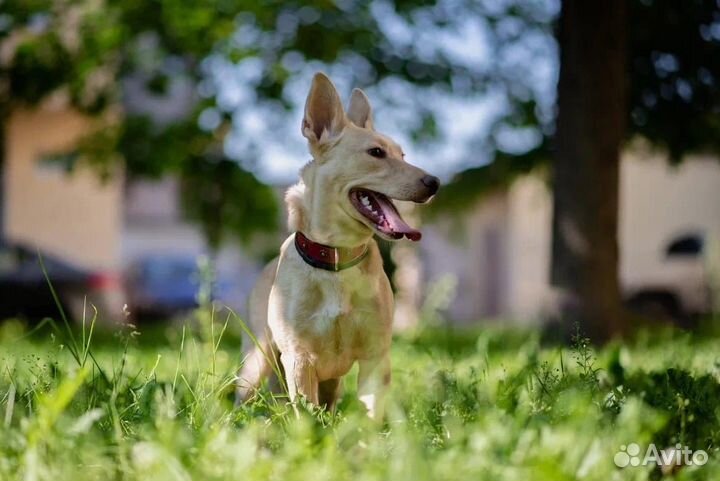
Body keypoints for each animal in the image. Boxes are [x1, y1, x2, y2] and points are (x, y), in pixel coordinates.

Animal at [236, 71, 438, 416]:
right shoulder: (299, 358)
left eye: (403, 155)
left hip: (330, 381)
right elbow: (305, 412)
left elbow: (371, 412)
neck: (336, 259)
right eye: (376, 153)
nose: (434, 182)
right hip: (258, 359)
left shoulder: (375, 356)